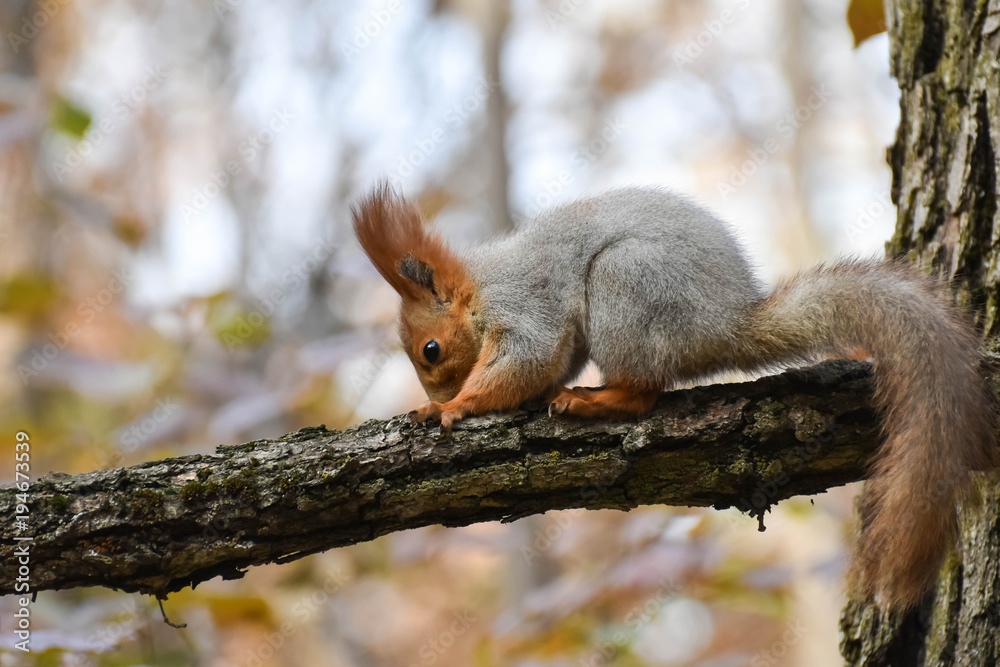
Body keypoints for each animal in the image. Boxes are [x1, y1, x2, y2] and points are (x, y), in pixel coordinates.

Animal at [352, 181, 992, 612]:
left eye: (430, 350)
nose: (440, 387)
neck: (482, 289)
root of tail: (722, 325)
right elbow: (544, 368)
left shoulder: (525, 307)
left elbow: (525, 360)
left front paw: (449, 406)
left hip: (625, 285)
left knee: (646, 393)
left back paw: (595, 401)